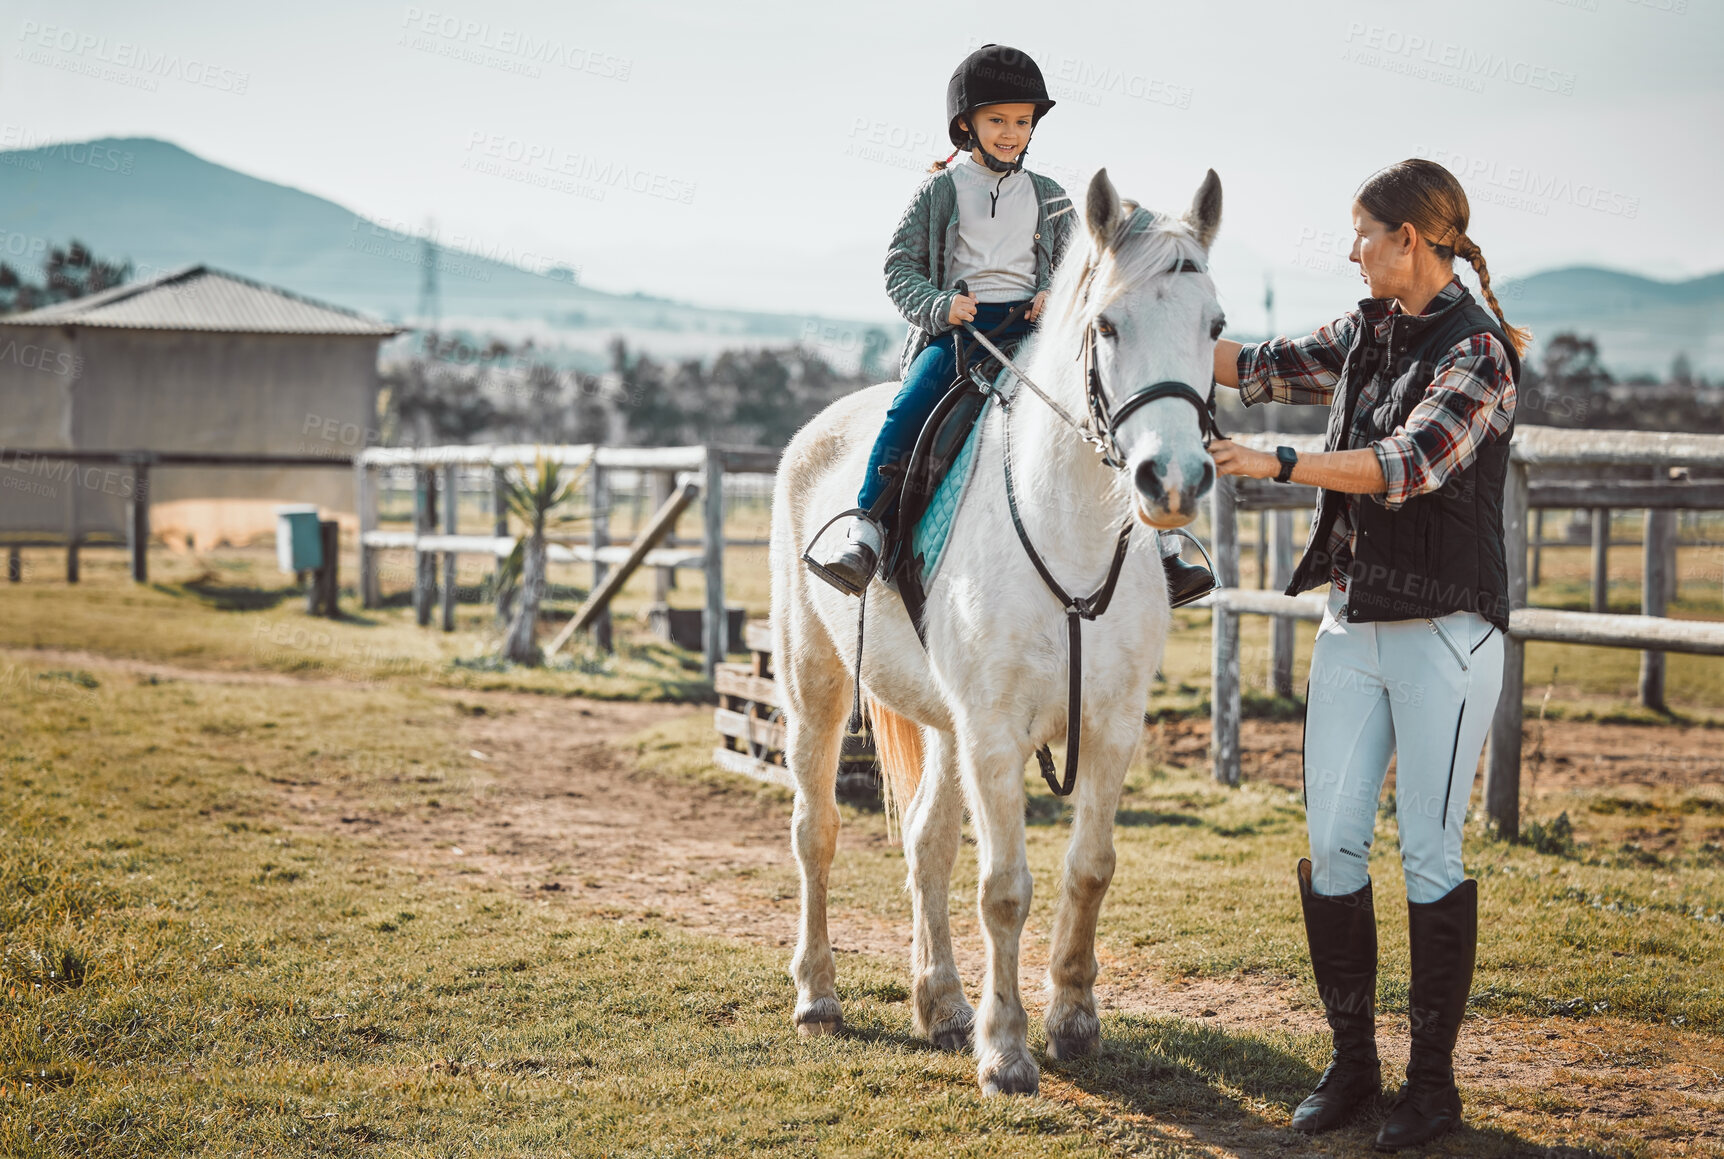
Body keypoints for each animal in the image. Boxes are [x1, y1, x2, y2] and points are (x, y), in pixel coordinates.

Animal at [768, 169, 1227, 1096]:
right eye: (1107, 325)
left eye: (1215, 326)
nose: (1171, 481)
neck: (1069, 528)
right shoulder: (995, 733)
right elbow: (1004, 886)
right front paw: (1008, 1049)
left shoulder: (1111, 726)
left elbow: (1089, 867)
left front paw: (1074, 1020)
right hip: (818, 689)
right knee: (817, 832)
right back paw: (819, 995)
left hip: (944, 725)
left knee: (927, 844)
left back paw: (941, 1003)